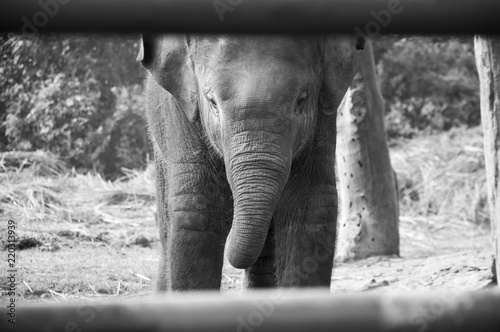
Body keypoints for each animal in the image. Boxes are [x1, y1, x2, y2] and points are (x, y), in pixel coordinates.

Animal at [139, 35, 366, 292]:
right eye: (212, 102)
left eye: (301, 101)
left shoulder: (322, 117)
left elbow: (311, 206)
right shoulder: (181, 112)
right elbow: (197, 209)